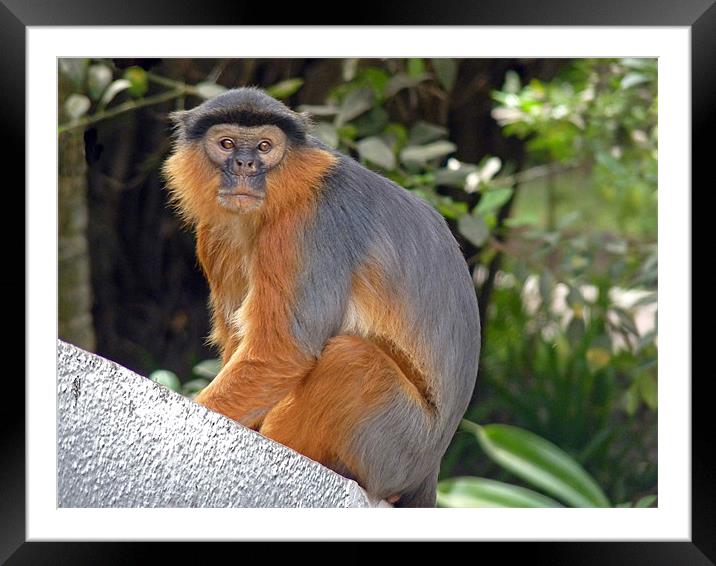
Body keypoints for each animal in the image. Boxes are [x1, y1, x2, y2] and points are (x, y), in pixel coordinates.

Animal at [162, 89, 482, 510]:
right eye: (227, 144)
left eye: (264, 147)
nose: (246, 165)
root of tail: (427, 470)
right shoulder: (214, 232)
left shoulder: (306, 224)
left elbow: (284, 351)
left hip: (397, 448)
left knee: (350, 358)